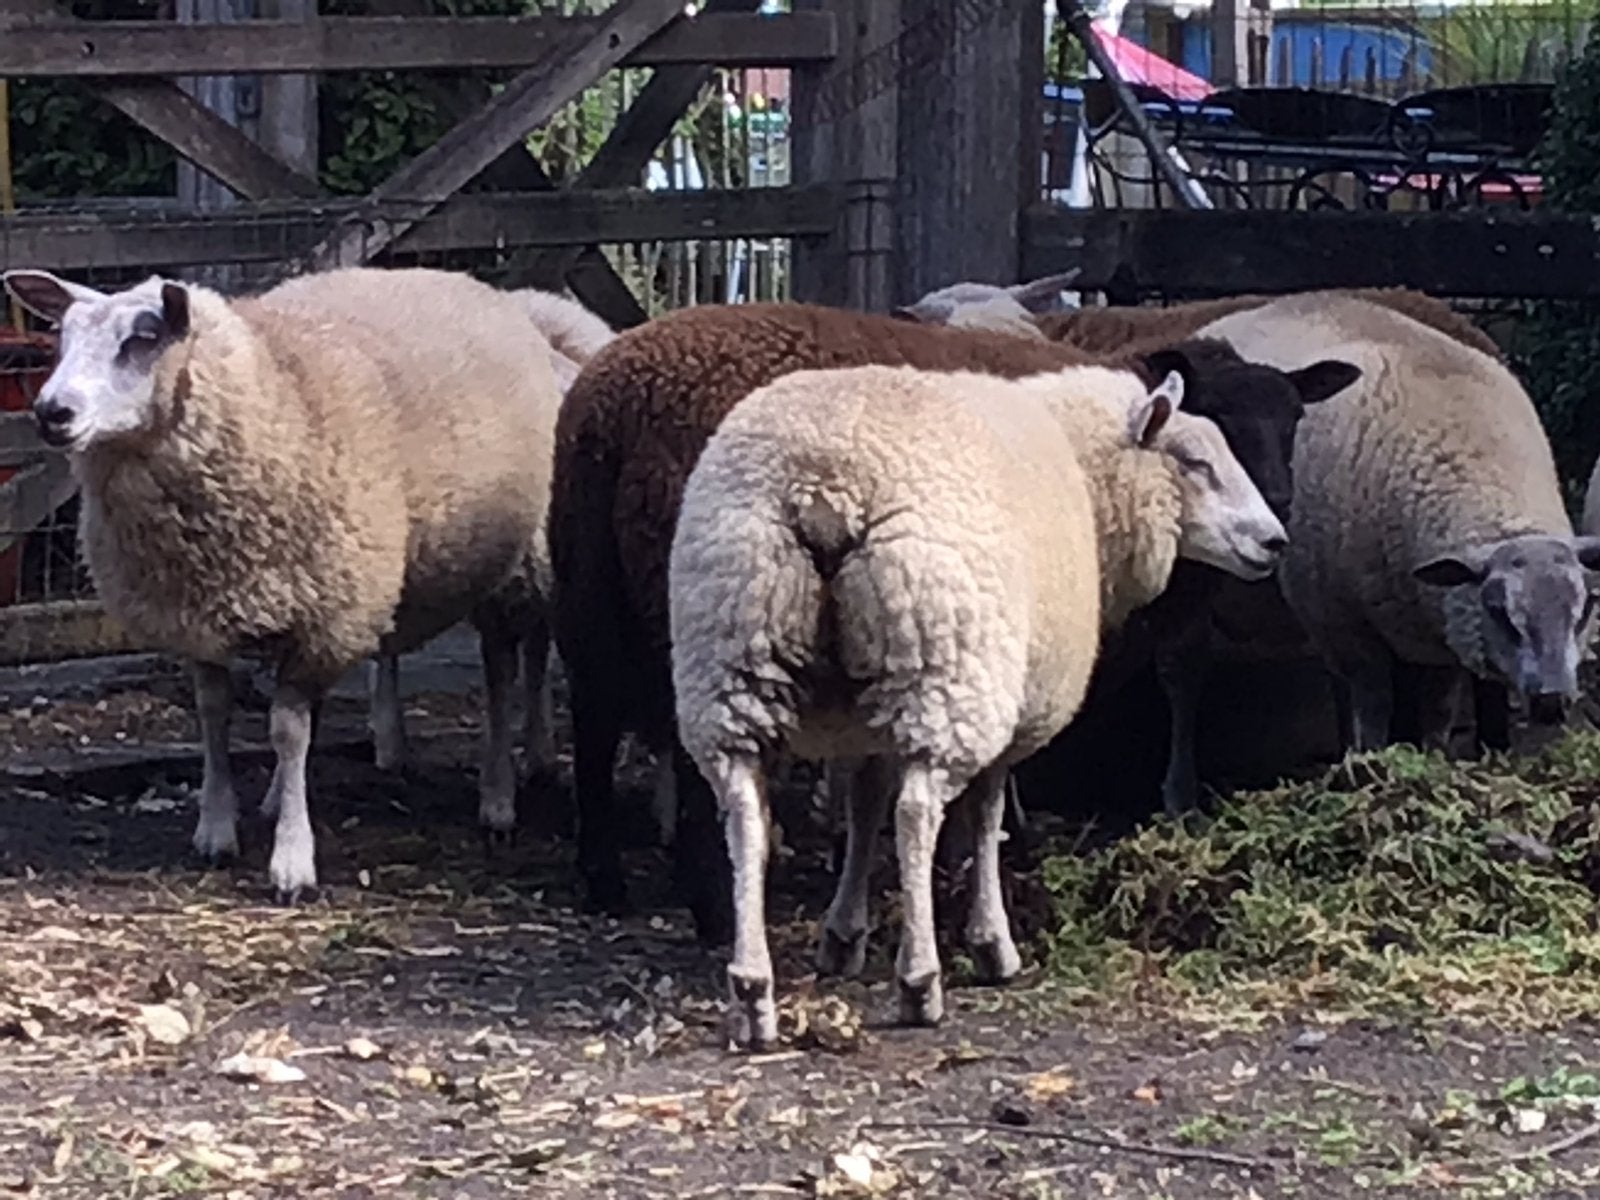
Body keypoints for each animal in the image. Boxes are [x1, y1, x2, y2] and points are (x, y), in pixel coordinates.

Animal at [3, 265, 564, 899]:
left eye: (142, 339)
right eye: (63, 337)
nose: (51, 412)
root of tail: (467, 283)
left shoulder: (320, 619)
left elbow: (289, 732)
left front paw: (293, 861)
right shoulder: (198, 615)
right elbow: (214, 716)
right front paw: (217, 828)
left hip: (508, 571)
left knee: (501, 674)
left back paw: (500, 794)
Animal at [549, 301, 1356, 941]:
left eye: (1293, 423)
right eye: (1204, 446)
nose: (1277, 527)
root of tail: (617, 399)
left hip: (590, 580)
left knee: (593, 719)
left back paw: (603, 876)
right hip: (707, 597)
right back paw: (717, 907)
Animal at [668, 360, 1288, 1047]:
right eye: (1193, 462)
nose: (1275, 541)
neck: (1085, 469)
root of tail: (825, 489)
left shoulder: (867, 719)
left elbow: (864, 806)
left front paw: (843, 934)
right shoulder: (1016, 704)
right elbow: (986, 816)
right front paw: (991, 943)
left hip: (734, 651)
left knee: (746, 812)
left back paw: (753, 991)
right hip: (946, 661)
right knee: (916, 813)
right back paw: (919, 982)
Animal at [1195, 291, 1600, 751]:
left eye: (1586, 607)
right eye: (1498, 610)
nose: (1552, 701)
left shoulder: (1442, 630)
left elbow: (1439, 711)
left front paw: (1431, 755)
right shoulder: (1347, 626)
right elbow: (1372, 705)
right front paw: (1373, 756)